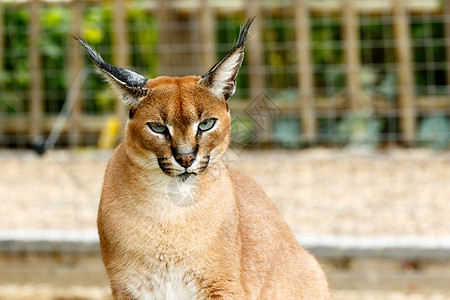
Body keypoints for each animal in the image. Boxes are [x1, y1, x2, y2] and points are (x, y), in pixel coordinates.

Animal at [76, 17, 330, 298]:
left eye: (206, 124)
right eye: (158, 128)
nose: (186, 158)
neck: (172, 208)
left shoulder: (221, 286)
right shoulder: (128, 286)